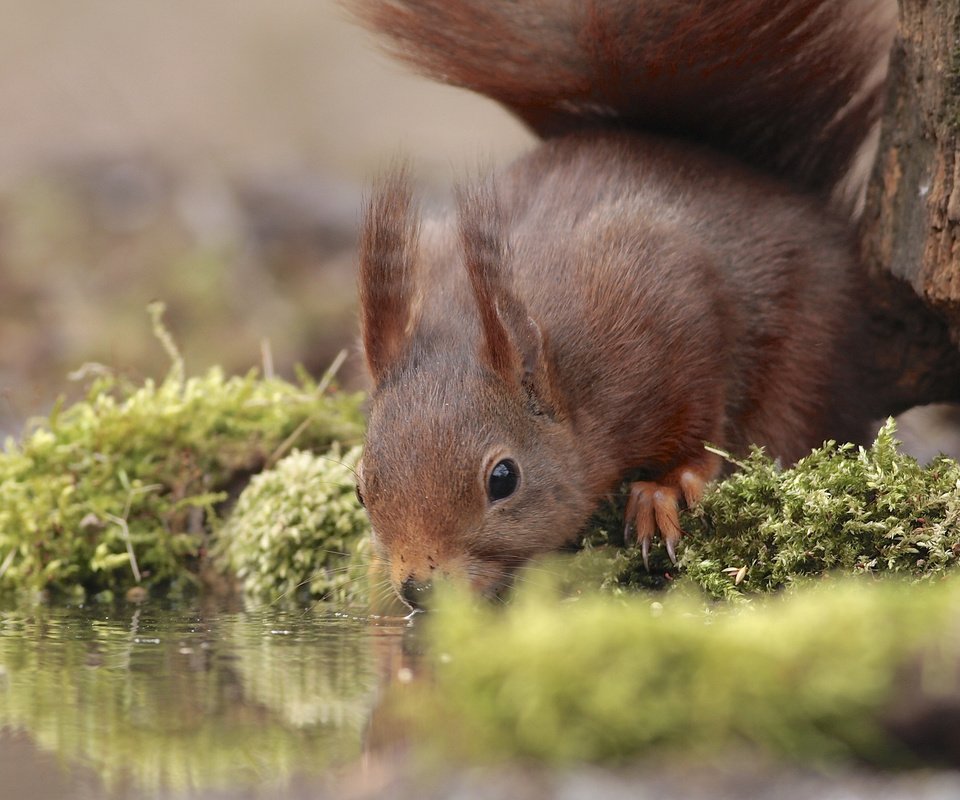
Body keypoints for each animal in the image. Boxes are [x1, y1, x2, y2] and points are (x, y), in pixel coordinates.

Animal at [346, 0, 900, 608]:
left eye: (503, 479)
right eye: (361, 488)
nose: (418, 589)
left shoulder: (668, 306)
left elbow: (700, 423)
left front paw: (666, 490)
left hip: (809, 360)